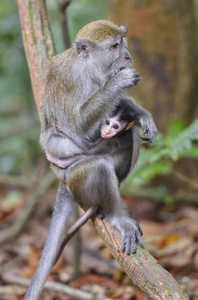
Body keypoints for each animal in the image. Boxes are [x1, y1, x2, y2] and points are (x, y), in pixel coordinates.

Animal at [25, 19, 158, 298]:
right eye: (115, 46)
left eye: (123, 42)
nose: (128, 56)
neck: (89, 68)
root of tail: (62, 180)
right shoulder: (72, 82)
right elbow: (79, 124)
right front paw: (119, 82)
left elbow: (122, 108)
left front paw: (142, 114)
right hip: (73, 174)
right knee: (96, 164)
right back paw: (116, 215)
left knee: (129, 136)